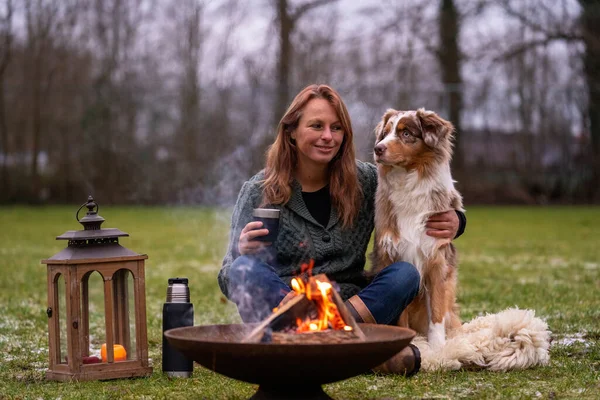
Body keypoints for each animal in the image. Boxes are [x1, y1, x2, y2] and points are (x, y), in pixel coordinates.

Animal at [370, 108, 464, 348]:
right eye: (385, 133)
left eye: (406, 133)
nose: (378, 148)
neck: (408, 182)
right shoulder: (392, 254)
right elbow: (400, 315)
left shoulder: (436, 258)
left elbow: (437, 312)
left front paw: (438, 348)